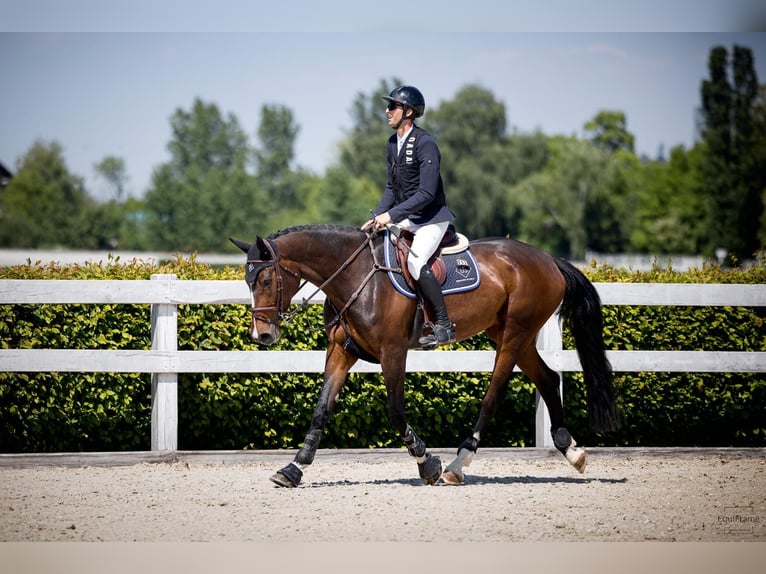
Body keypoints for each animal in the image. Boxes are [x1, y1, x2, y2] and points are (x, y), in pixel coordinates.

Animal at [230, 224, 618, 487]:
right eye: (249, 282)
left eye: (266, 280)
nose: (262, 336)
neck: (355, 276)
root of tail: (549, 259)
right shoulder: (341, 351)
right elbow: (321, 409)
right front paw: (293, 468)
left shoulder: (393, 352)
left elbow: (396, 412)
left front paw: (426, 463)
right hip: (512, 335)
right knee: (549, 379)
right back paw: (572, 451)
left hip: (514, 335)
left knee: (493, 396)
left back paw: (457, 465)